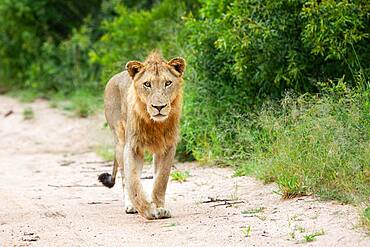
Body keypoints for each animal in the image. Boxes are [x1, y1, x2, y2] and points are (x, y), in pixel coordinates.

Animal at [97, 52, 185, 220]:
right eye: (147, 84)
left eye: (168, 83)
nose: (159, 107)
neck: (154, 124)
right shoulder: (132, 147)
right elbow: (133, 180)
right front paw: (147, 210)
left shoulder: (168, 146)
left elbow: (161, 180)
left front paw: (160, 208)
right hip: (119, 141)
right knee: (125, 177)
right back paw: (130, 206)